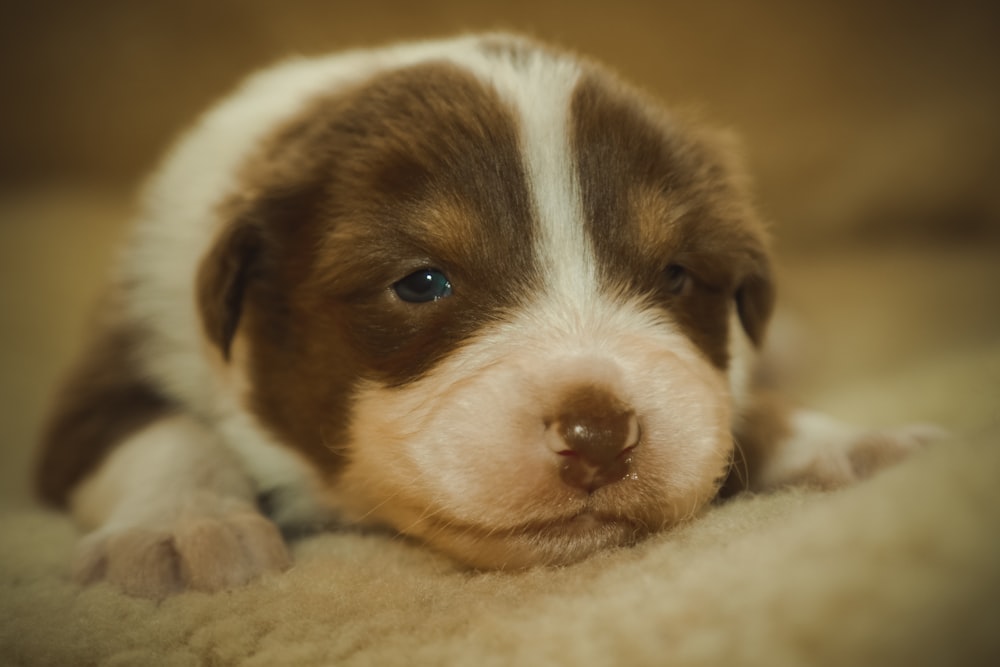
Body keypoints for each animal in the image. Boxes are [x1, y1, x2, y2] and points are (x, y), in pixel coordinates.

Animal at [37, 34, 928, 596]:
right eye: (422, 283)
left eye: (676, 274)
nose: (600, 435)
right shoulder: (126, 340)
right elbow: (160, 429)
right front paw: (180, 530)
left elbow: (731, 406)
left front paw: (854, 443)